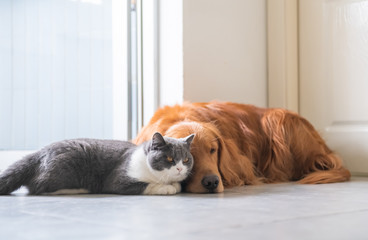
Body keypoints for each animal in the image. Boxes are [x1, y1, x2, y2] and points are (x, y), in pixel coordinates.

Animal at [0, 132, 196, 196]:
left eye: (186, 160)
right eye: (169, 159)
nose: (179, 168)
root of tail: (39, 151)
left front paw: (174, 184)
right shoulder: (118, 179)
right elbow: (145, 185)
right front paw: (167, 188)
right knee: (37, 186)